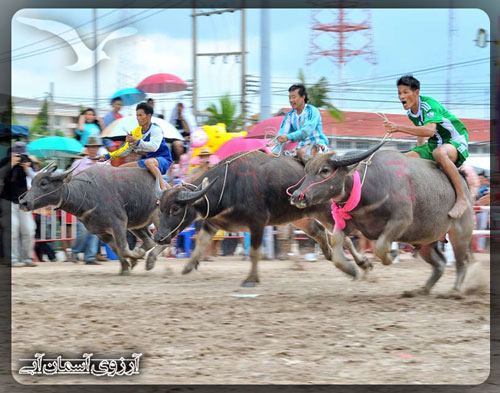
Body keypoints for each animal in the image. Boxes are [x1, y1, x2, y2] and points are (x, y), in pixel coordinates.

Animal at [19, 162, 166, 272]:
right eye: (32, 182)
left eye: (43, 183)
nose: (23, 202)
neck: (86, 193)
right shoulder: (100, 232)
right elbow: (117, 249)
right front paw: (126, 266)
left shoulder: (118, 224)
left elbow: (123, 248)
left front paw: (136, 256)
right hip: (136, 224)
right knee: (150, 240)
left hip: (159, 218)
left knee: (164, 240)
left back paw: (150, 261)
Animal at [152, 150, 368, 284]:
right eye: (160, 208)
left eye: (175, 209)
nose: (158, 237)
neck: (229, 186)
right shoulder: (212, 224)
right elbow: (201, 244)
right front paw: (189, 265)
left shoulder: (257, 224)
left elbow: (254, 252)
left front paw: (251, 279)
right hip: (301, 216)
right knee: (320, 232)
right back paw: (332, 255)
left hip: (327, 212)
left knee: (345, 238)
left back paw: (359, 264)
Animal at [290, 142, 472, 296]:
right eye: (306, 170)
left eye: (325, 170)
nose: (297, 196)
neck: (369, 188)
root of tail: (464, 185)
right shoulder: (349, 224)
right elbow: (336, 243)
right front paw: (352, 269)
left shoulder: (401, 222)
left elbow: (380, 247)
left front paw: (393, 254)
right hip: (426, 240)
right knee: (440, 264)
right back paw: (422, 290)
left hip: (460, 234)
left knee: (462, 261)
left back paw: (455, 291)